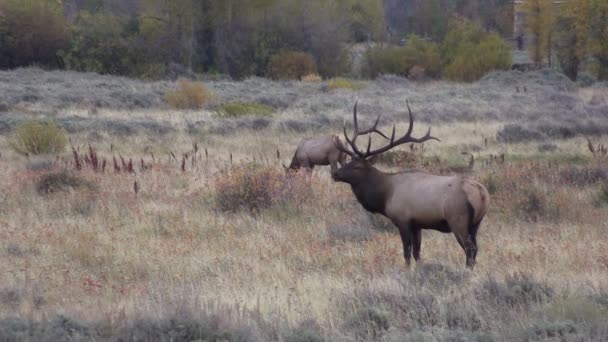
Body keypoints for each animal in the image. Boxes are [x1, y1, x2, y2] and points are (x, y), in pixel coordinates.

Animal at [332, 100, 490, 268]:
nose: (335, 173)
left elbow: (406, 253)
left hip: (458, 219)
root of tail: (482, 194)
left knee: (469, 249)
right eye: (349, 161)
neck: (385, 196)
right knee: (475, 248)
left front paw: (407, 270)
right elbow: (417, 253)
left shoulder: (403, 220)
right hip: (476, 223)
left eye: (357, 166)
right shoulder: (417, 225)